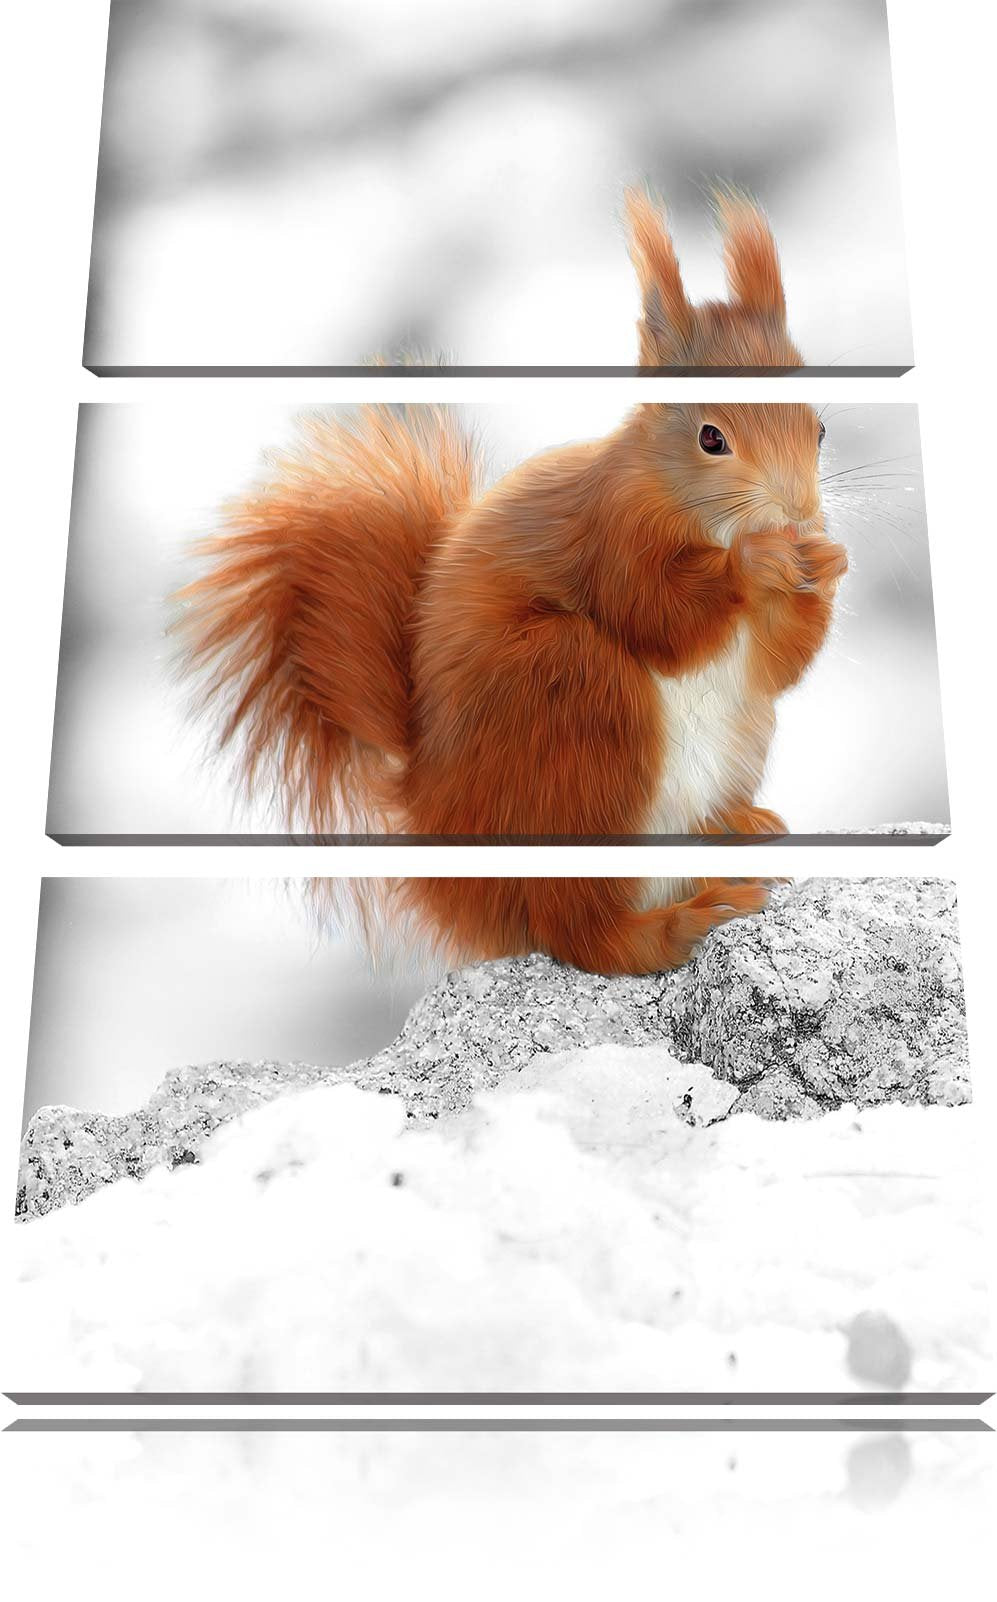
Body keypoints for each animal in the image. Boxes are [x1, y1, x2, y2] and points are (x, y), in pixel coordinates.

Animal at [177, 189, 848, 977]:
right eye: (711, 438)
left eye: (821, 429)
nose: (800, 513)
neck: (686, 508)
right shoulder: (610, 537)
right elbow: (657, 617)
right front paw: (756, 562)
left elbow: (776, 666)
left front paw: (825, 565)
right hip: (570, 708)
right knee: (581, 933)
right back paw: (674, 923)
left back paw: (740, 832)